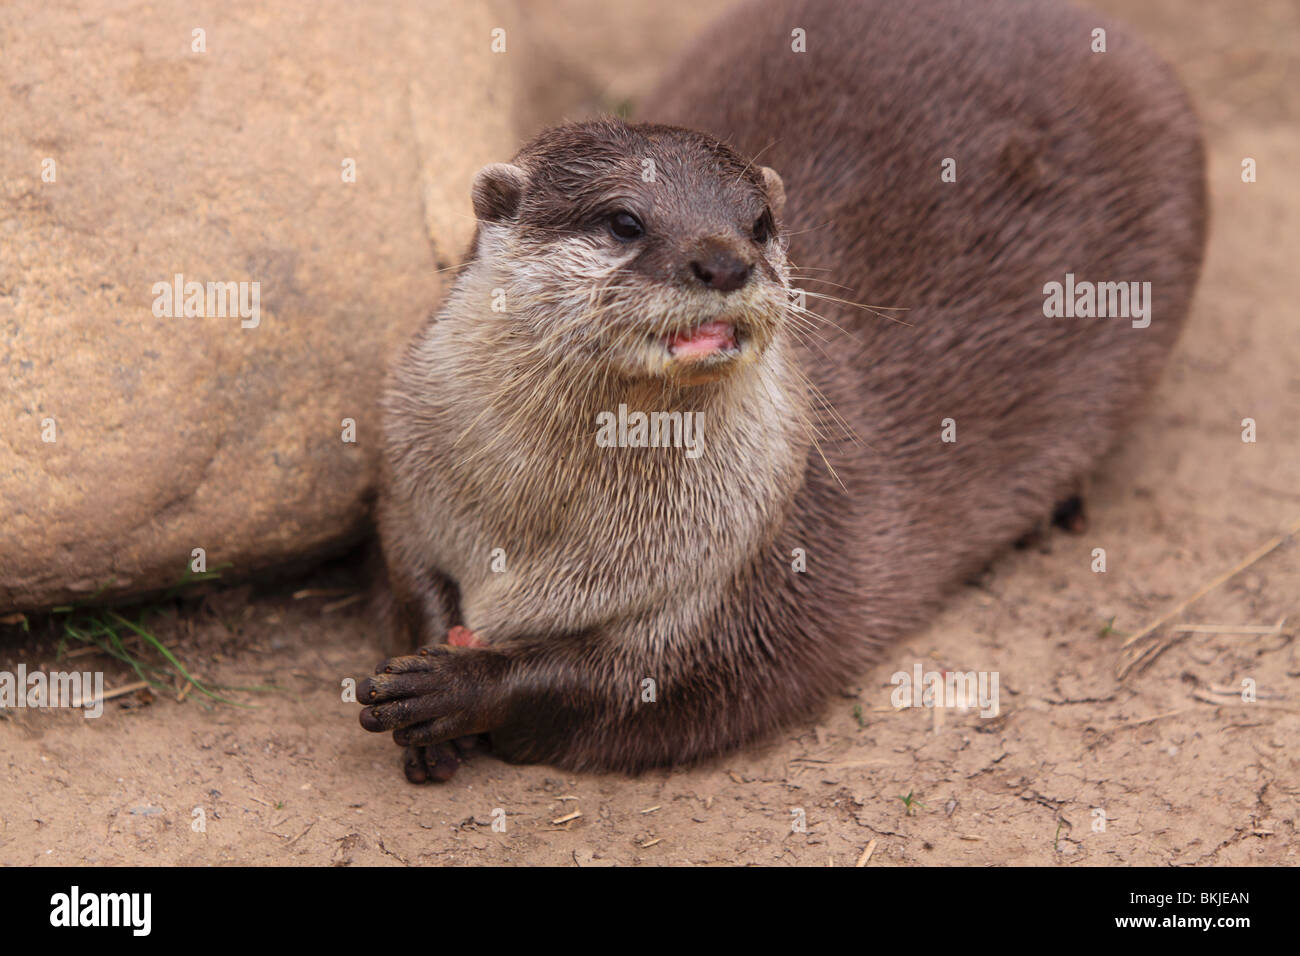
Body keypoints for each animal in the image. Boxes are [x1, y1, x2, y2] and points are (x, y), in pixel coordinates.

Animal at [358, 0, 1206, 783]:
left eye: (760, 222)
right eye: (624, 221)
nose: (725, 261)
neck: (536, 523)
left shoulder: (751, 566)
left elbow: (639, 687)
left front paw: (461, 689)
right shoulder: (408, 467)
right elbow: (403, 569)